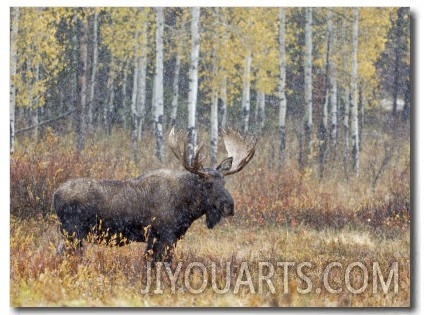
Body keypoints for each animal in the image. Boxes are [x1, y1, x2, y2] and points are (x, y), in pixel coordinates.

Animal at [53, 130, 255, 262]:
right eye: (208, 184)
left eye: (224, 182)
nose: (229, 206)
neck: (188, 209)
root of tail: (55, 194)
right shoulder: (165, 236)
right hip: (73, 232)